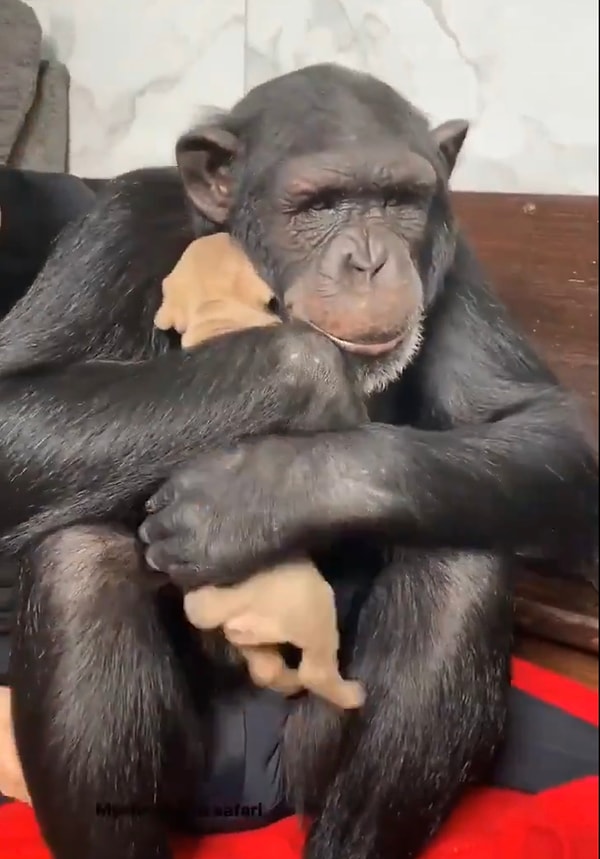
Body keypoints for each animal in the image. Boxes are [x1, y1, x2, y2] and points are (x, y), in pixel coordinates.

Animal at [0, 65, 596, 859]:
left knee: (459, 564)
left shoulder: (458, 259)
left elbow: (540, 427)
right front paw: (308, 370)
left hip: (306, 759)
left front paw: (257, 497)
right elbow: (14, 404)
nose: (370, 259)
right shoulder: (117, 227)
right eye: (320, 205)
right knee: (79, 560)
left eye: (400, 203)